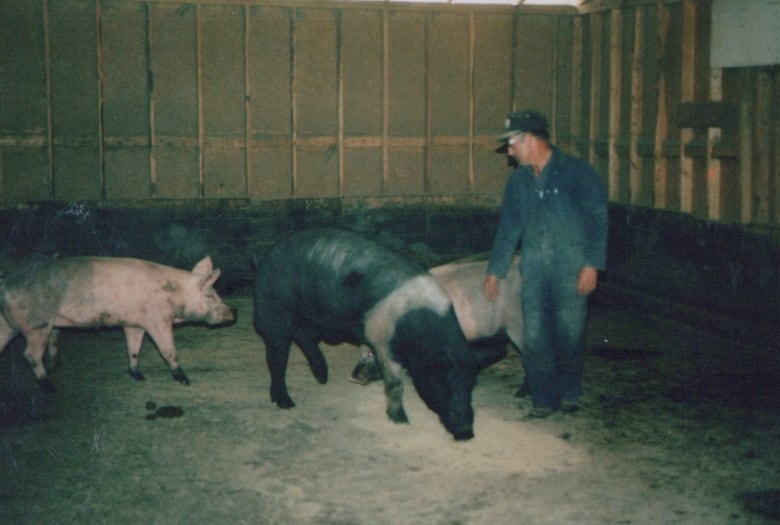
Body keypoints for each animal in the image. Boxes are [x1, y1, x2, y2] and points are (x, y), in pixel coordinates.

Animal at [0, 254, 238, 388]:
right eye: (210, 295)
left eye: (216, 292)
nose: (234, 311)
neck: (174, 294)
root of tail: (7, 283)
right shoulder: (157, 320)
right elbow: (168, 349)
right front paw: (184, 380)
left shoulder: (133, 323)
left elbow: (133, 348)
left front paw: (138, 376)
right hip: (36, 325)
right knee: (30, 355)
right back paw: (49, 386)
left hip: (9, 325)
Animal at [251, 228, 506, 438]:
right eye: (445, 381)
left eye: (470, 384)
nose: (467, 431)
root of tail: (266, 258)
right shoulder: (382, 340)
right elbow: (395, 384)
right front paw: (401, 421)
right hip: (276, 309)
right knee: (277, 354)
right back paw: (286, 402)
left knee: (302, 335)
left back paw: (322, 377)